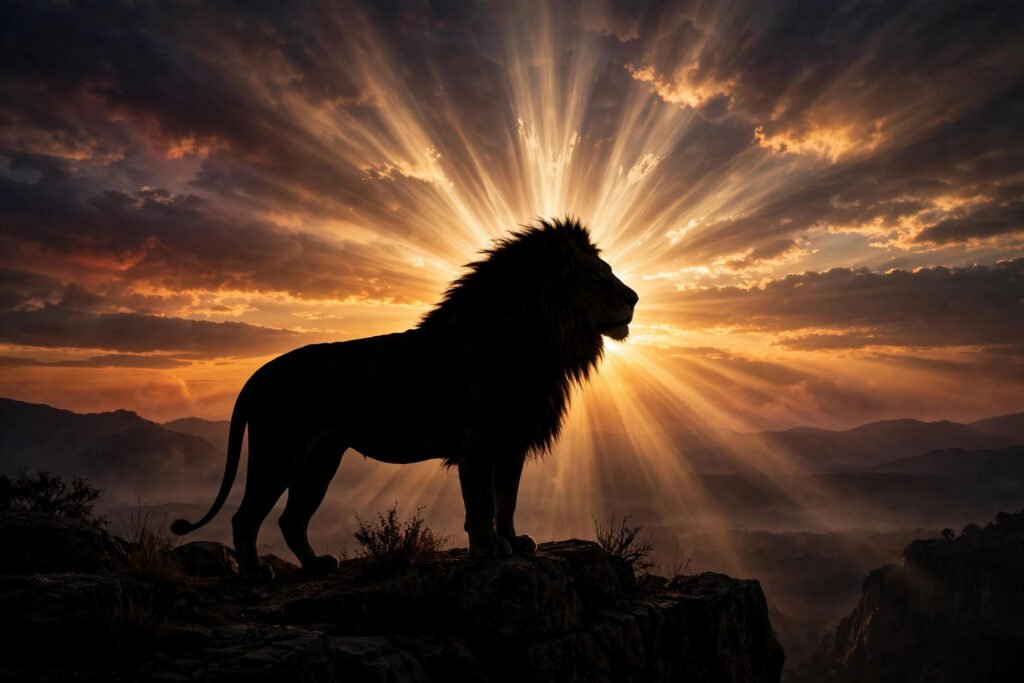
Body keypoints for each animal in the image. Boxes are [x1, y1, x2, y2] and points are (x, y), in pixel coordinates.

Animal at [171, 217, 638, 578]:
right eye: (597, 275)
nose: (635, 297)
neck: (542, 343)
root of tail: (258, 375)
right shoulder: (479, 441)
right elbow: (483, 500)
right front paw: (488, 547)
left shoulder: (512, 441)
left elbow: (508, 499)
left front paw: (514, 540)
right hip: (279, 451)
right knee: (246, 516)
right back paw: (254, 572)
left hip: (321, 458)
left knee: (291, 518)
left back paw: (317, 564)